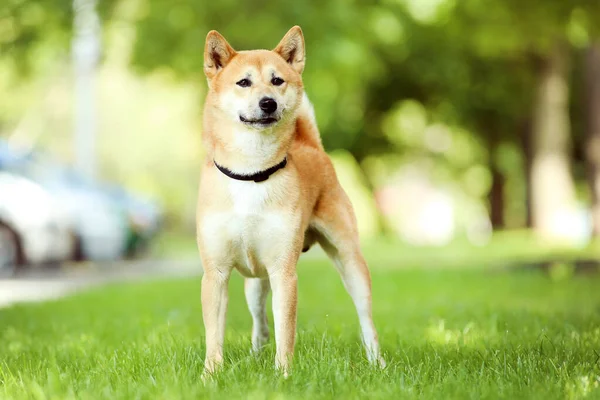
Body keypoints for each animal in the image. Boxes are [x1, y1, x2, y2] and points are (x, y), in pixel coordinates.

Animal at [197, 26, 384, 376]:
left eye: (277, 80)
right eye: (244, 82)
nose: (268, 103)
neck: (251, 173)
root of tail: (312, 147)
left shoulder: (284, 272)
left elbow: (286, 331)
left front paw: (283, 375)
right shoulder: (215, 272)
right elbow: (214, 334)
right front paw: (210, 375)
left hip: (349, 259)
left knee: (366, 318)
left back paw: (377, 361)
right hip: (255, 281)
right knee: (259, 321)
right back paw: (256, 353)